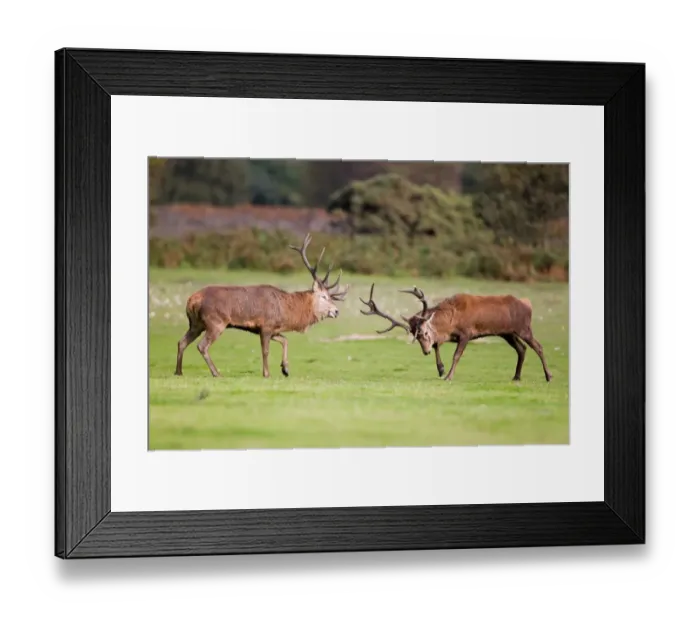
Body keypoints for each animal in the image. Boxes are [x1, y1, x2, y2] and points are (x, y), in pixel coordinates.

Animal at [174, 233, 349, 379]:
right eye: (324, 296)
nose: (336, 311)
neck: (286, 311)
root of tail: (192, 300)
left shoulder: (272, 329)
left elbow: (285, 340)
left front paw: (285, 369)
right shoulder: (266, 325)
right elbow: (265, 351)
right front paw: (267, 373)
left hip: (196, 324)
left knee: (181, 341)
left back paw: (178, 371)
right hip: (215, 322)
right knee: (202, 346)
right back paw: (216, 373)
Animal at [359, 283, 552, 383]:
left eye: (424, 333)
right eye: (415, 335)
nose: (424, 351)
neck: (451, 321)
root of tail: (527, 304)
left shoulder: (466, 333)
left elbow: (456, 355)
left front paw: (448, 376)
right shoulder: (450, 336)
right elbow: (438, 345)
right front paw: (440, 369)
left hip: (524, 328)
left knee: (539, 346)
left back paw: (548, 376)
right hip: (507, 333)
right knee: (522, 349)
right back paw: (516, 376)